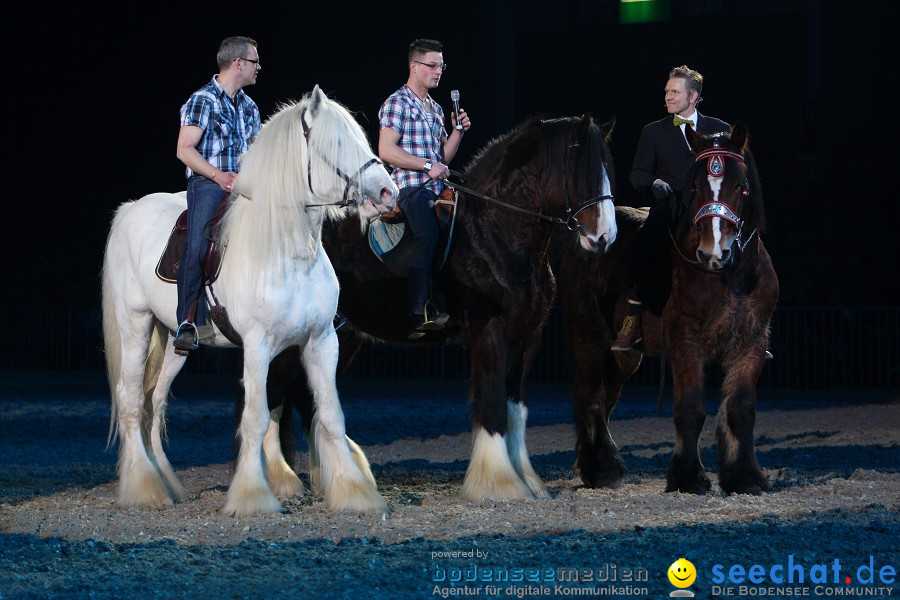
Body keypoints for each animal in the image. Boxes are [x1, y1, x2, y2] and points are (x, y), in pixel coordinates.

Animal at [103, 86, 398, 516]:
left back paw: (166, 482)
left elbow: (330, 417)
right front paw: (253, 496)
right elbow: (256, 419)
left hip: (175, 340)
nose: (388, 192)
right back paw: (144, 488)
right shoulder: (258, 346)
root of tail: (129, 210)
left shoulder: (322, 342)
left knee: (153, 402)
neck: (288, 252)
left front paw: (354, 492)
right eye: (336, 144)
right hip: (136, 324)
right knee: (129, 399)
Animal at [255, 113, 620, 502]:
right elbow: (492, 404)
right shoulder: (489, 330)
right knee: (273, 395)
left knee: (308, 401)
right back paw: (280, 480)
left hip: (343, 336)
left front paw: (528, 481)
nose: (604, 238)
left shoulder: (527, 338)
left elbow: (515, 408)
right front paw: (500, 484)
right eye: (580, 172)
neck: (494, 233)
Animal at [560, 123, 776, 496]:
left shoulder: (751, 342)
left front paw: (745, 477)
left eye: (739, 185)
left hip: (623, 355)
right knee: (589, 395)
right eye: (695, 187)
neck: (730, 276)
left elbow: (740, 410)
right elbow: (690, 407)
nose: (713, 252)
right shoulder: (686, 342)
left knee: (606, 395)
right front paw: (688, 477)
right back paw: (600, 469)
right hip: (587, 335)